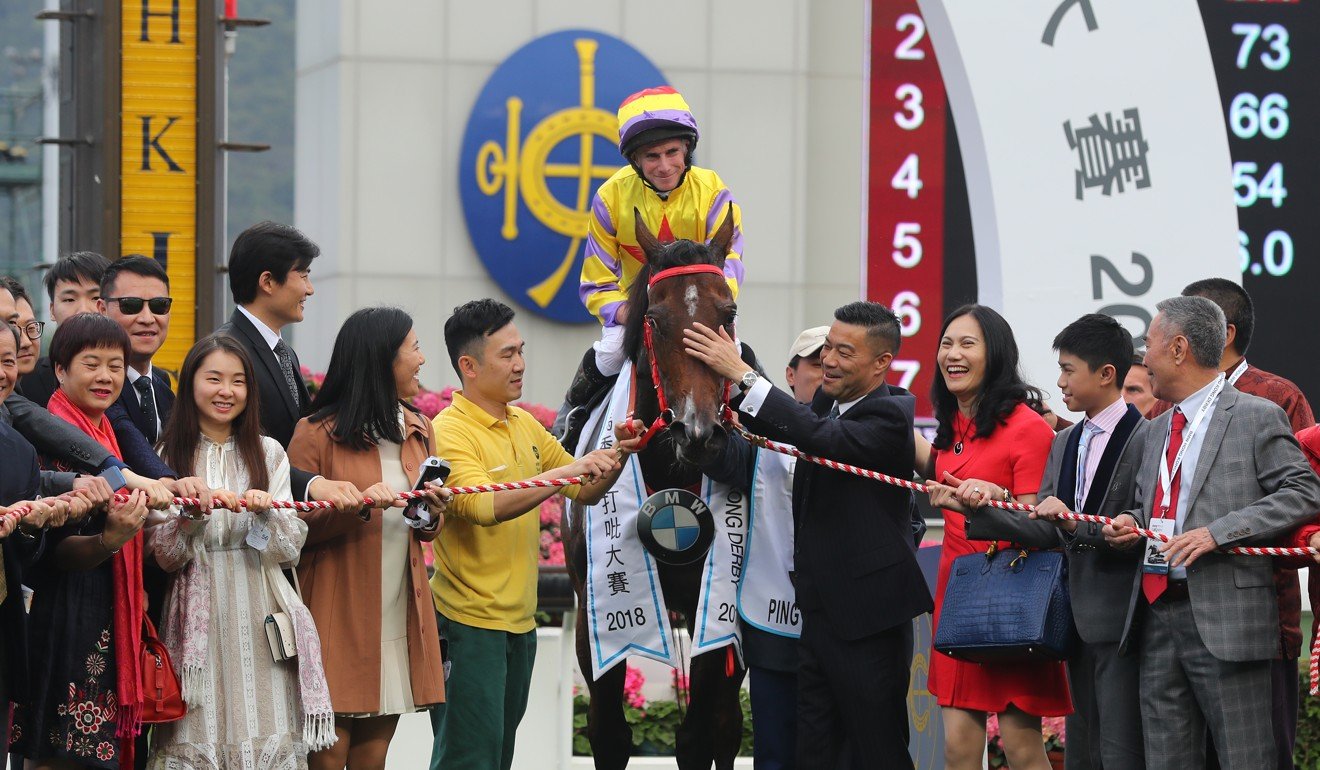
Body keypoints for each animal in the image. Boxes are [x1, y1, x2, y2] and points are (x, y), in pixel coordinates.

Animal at [567, 207, 749, 766]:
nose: (699, 432)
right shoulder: (592, 608)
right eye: (653, 319)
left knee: (726, 725)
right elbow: (608, 733)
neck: (671, 471)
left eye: (727, 313)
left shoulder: (715, 604)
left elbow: (697, 735)